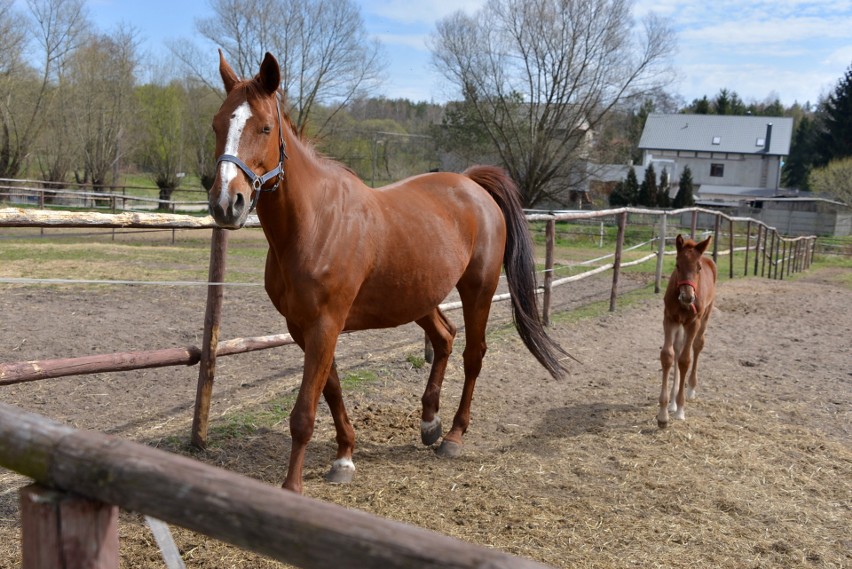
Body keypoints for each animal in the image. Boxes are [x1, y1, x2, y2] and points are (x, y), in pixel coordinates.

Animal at [209, 51, 568, 490]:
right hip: (418, 297)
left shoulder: (325, 325)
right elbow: (331, 391)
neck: (314, 223)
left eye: (264, 127)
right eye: (217, 124)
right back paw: (429, 424)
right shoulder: (304, 327)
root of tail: (472, 184)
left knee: (474, 354)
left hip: (478, 289)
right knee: (445, 338)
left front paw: (292, 487)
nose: (227, 203)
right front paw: (345, 456)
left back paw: (453, 435)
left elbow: (304, 413)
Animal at [656, 232, 716, 426]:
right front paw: (663, 413)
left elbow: (685, 360)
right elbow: (668, 356)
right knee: (678, 348)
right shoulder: (670, 319)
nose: (688, 297)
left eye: (698, 268)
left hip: (705, 316)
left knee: (697, 345)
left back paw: (690, 390)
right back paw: (673, 401)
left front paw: (681, 409)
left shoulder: (693, 322)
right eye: (677, 265)